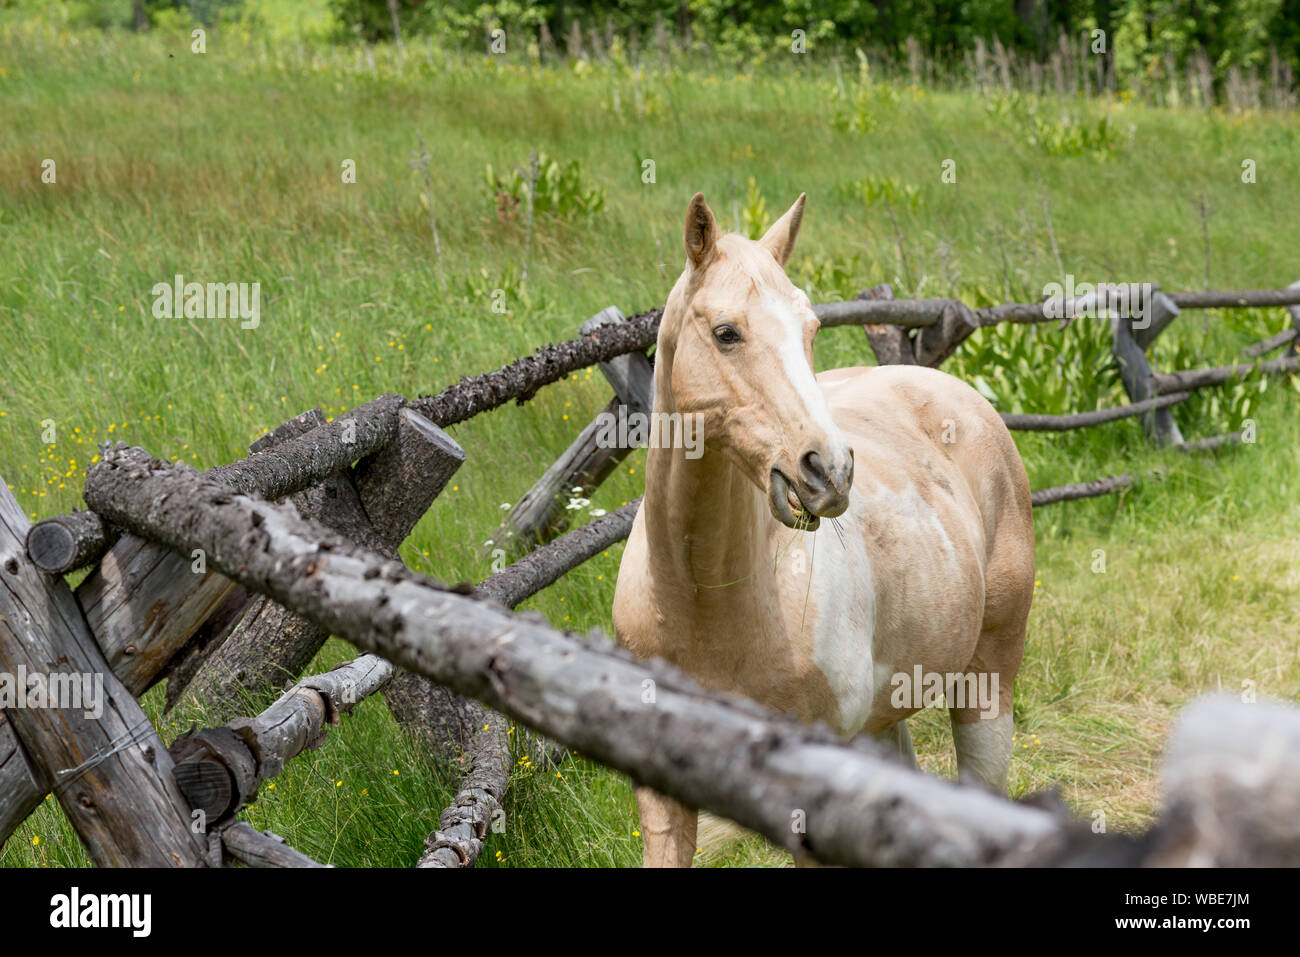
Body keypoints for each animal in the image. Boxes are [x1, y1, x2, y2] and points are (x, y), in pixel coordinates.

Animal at [611, 192, 1035, 867]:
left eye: (810, 330)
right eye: (726, 332)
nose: (829, 470)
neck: (698, 603)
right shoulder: (659, 790)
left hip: (987, 686)